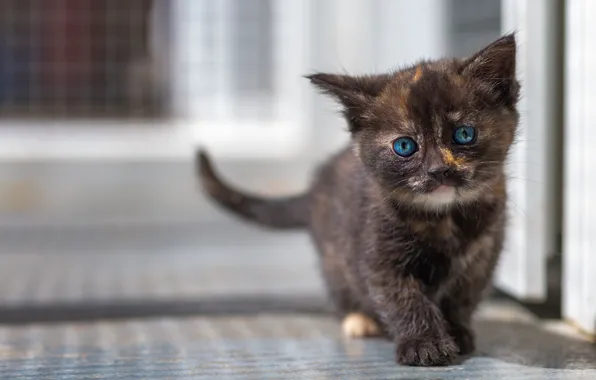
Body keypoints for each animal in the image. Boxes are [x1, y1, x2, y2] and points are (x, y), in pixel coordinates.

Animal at [198, 34, 520, 366]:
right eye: (404, 146)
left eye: (464, 134)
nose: (438, 170)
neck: (443, 219)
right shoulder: (378, 254)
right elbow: (403, 299)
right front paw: (424, 343)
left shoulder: (483, 254)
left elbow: (463, 297)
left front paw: (456, 330)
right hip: (333, 257)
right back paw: (359, 319)